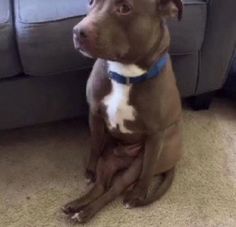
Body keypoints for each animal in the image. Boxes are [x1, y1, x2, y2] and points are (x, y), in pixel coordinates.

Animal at [62, 0, 183, 223]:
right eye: (91, 2)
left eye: (125, 8)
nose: (77, 31)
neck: (125, 74)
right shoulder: (95, 115)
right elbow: (94, 146)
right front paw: (89, 171)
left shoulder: (155, 135)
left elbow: (147, 170)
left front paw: (139, 194)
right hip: (108, 159)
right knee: (101, 186)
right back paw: (76, 205)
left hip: (138, 163)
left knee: (114, 190)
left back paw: (86, 212)